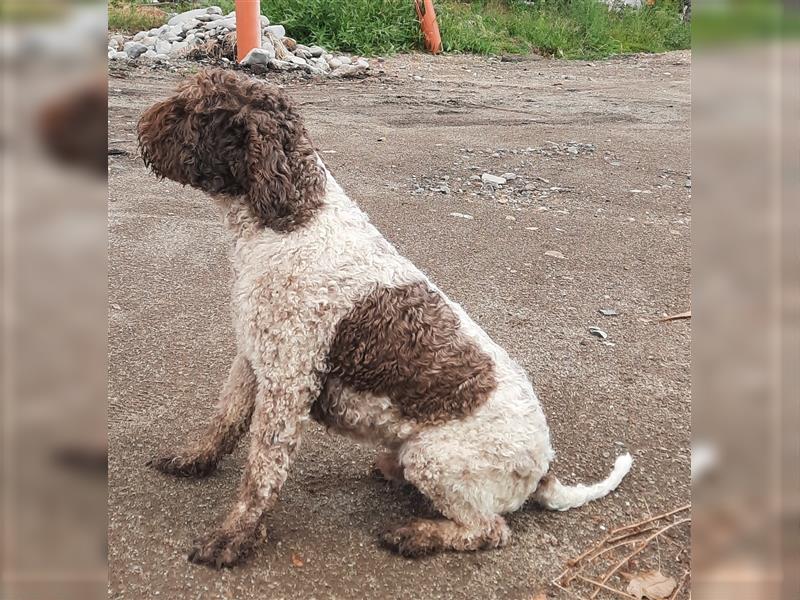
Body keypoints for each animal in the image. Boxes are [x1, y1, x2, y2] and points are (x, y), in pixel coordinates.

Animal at [141, 69, 636, 568]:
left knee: (489, 529)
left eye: (192, 110)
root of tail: (544, 466)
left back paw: (419, 534)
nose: (142, 126)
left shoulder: (288, 377)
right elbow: (224, 419)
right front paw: (195, 460)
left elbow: (263, 468)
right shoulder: (252, 355)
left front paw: (234, 536)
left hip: (433, 457)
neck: (291, 220)